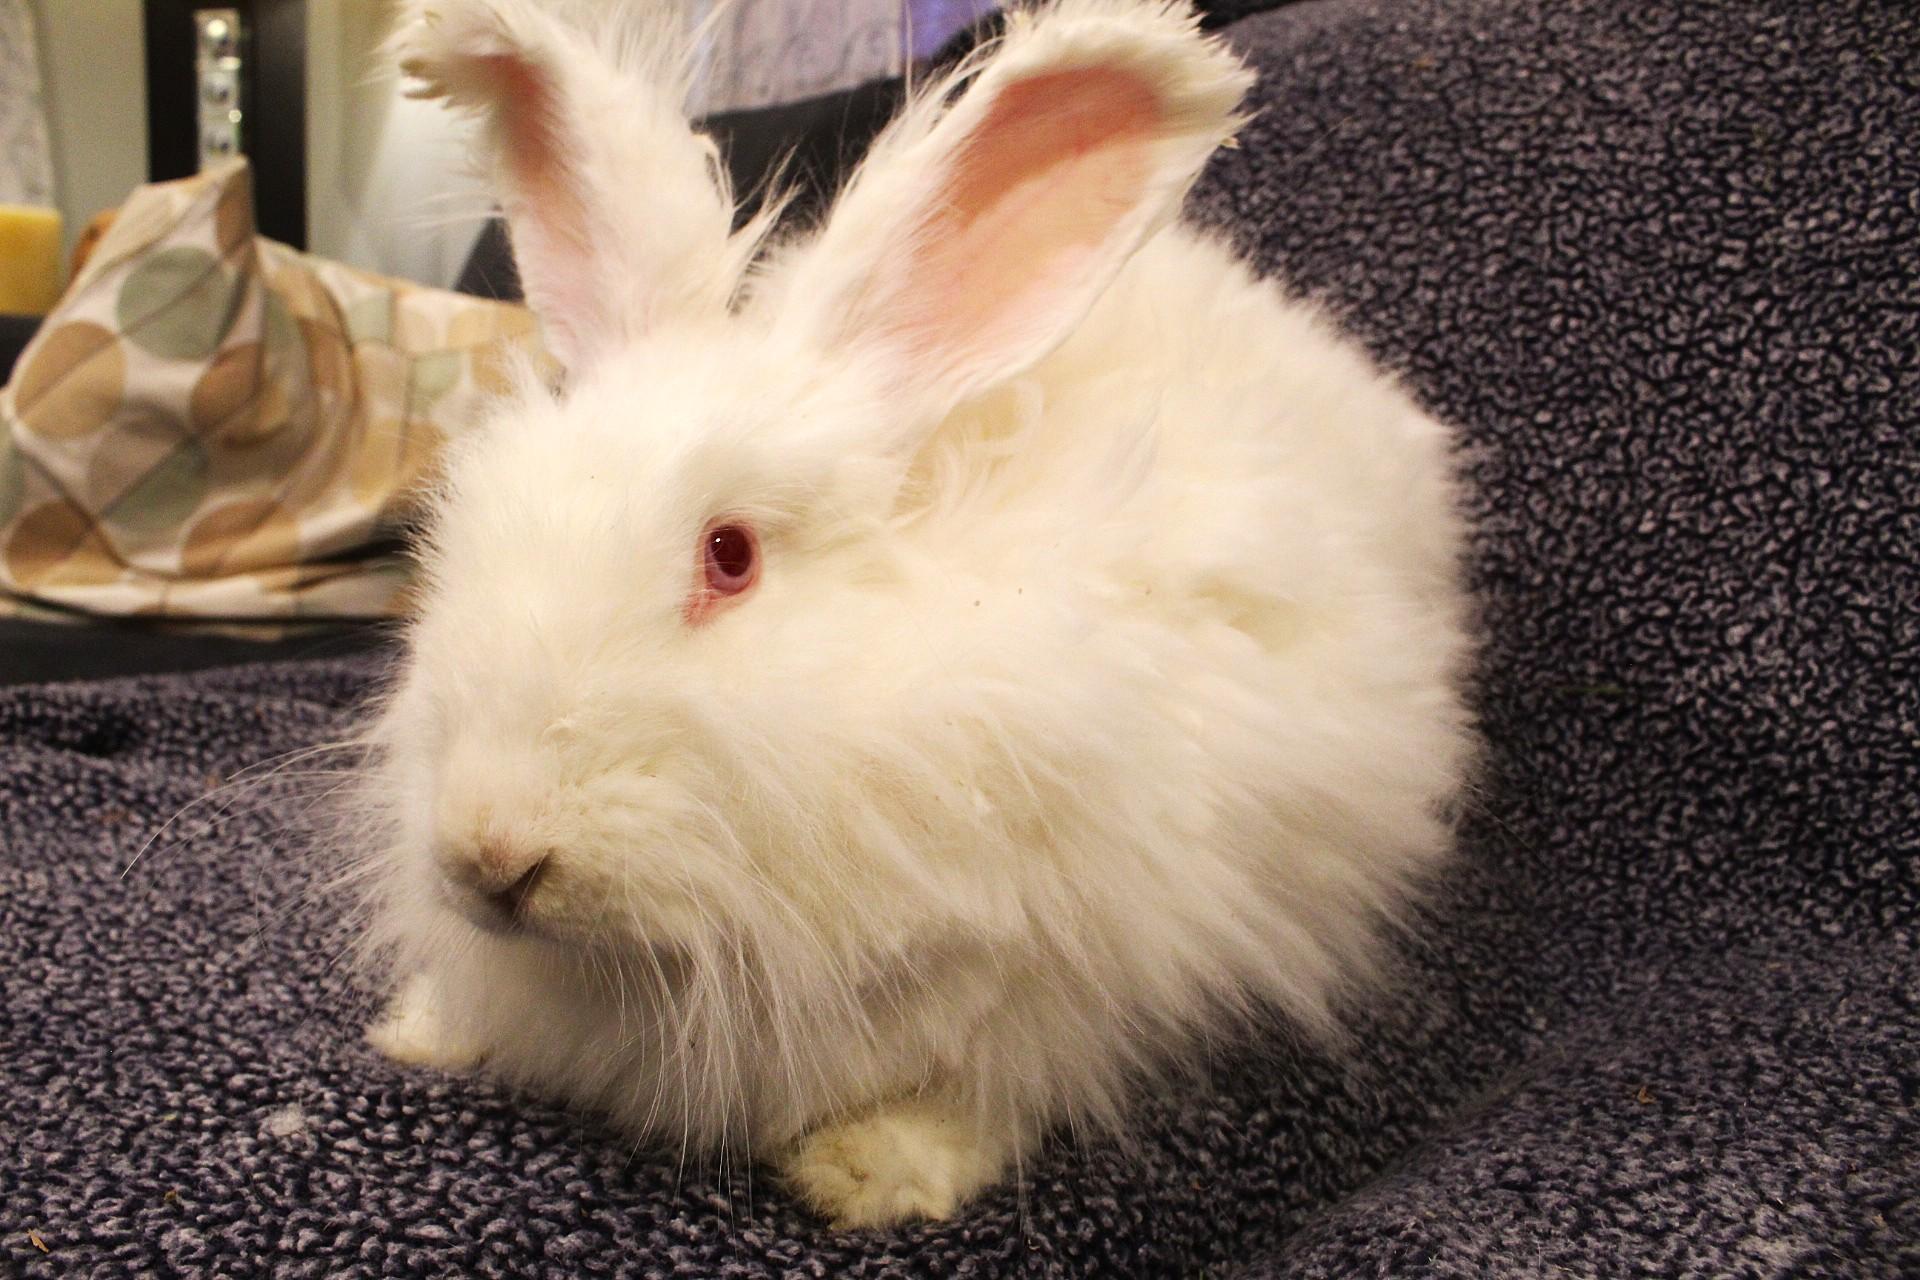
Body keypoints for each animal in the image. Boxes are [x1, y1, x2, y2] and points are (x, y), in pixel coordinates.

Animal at [352, 0, 1476, 1230]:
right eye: (476, 522)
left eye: (730, 555)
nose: (487, 852)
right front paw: (419, 1030)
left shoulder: (1070, 972)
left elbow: (983, 1089)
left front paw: (868, 1170)